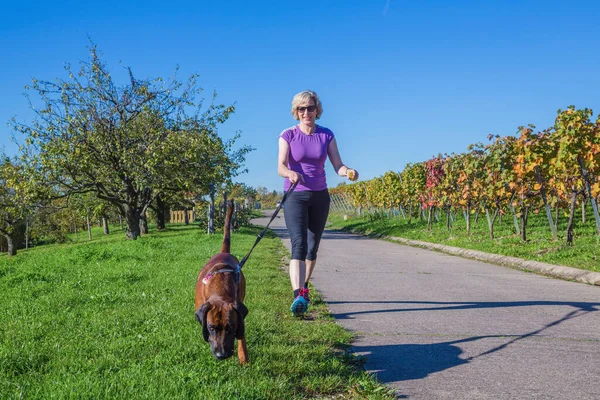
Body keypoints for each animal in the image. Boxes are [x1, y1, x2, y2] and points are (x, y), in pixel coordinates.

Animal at [193, 199, 247, 362]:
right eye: (211, 327)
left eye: (231, 327)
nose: (221, 355)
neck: (219, 288)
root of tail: (224, 252)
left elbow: (242, 335)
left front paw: (243, 356)